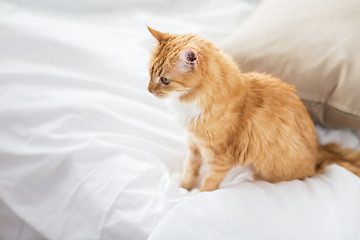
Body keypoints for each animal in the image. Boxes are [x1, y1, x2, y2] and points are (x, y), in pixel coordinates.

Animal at [146, 26, 360, 191]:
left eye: (165, 80)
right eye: (149, 73)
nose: (148, 90)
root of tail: (317, 150)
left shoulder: (220, 158)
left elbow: (209, 183)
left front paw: (196, 195)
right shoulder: (193, 145)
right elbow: (190, 170)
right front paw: (184, 187)